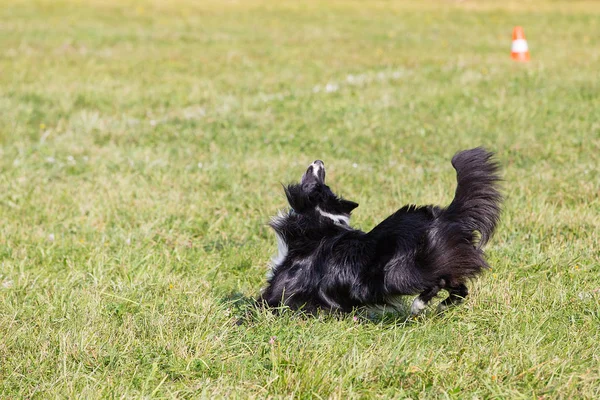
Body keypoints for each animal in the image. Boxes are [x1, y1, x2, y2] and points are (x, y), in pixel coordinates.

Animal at [258, 148, 502, 318]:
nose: (320, 162)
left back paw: (418, 305)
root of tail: (446, 215)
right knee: (460, 287)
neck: (319, 219)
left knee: (437, 282)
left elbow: (260, 304)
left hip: (398, 272)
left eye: (319, 181)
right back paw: (441, 306)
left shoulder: (280, 290)